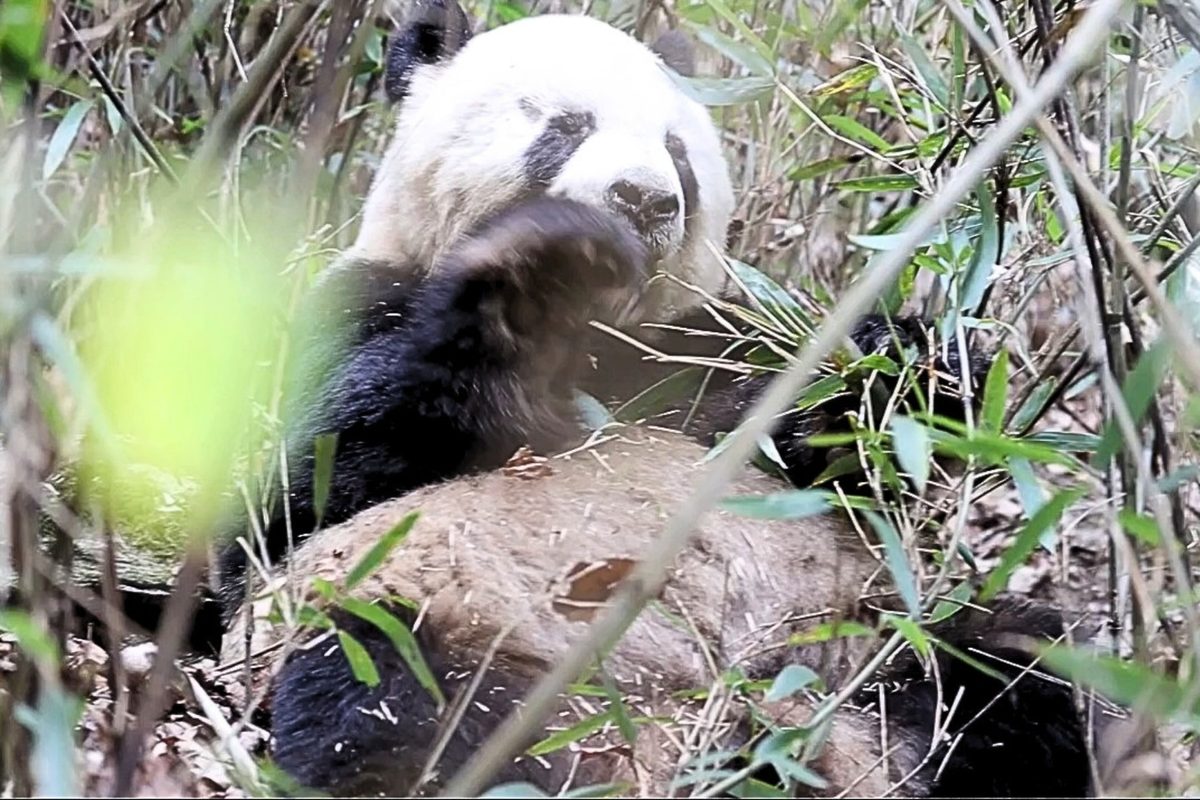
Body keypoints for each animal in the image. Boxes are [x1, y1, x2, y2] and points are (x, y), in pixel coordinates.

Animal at [216, 3, 1108, 797]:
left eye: (678, 152)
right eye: (565, 127)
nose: (643, 199)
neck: (603, 340)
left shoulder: (700, 347)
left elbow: (836, 454)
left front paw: (901, 361)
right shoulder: (346, 312)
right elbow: (300, 488)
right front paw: (543, 274)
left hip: (878, 636)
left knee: (1018, 672)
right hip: (449, 620)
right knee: (385, 703)